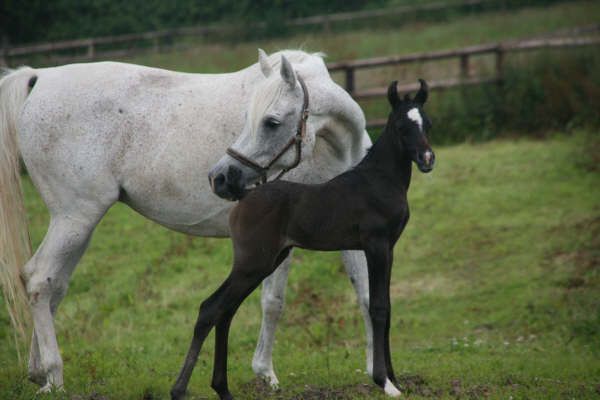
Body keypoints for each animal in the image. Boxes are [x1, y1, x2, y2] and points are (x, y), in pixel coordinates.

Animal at [0, 49, 378, 394]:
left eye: (270, 122)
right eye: (254, 119)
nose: (221, 178)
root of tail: (41, 77)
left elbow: (365, 293)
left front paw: (377, 373)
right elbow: (274, 302)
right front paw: (266, 374)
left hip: (79, 225)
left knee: (54, 285)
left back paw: (38, 373)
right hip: (74, 218)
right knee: (39, 280)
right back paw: (54, 376)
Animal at [171, 79, 434, 398]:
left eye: (426, 124)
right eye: (401, 127)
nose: (427, 159)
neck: (379, 180)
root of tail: (244, 197)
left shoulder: (389, 248)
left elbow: (386, 306)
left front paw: (394, 379)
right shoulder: (376, 246)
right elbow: (379, 307)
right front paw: (385, 383)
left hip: (268, 261)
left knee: (225, 311)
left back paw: (222, 389)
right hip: (253, 262)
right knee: (211, 308)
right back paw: (180, 389)